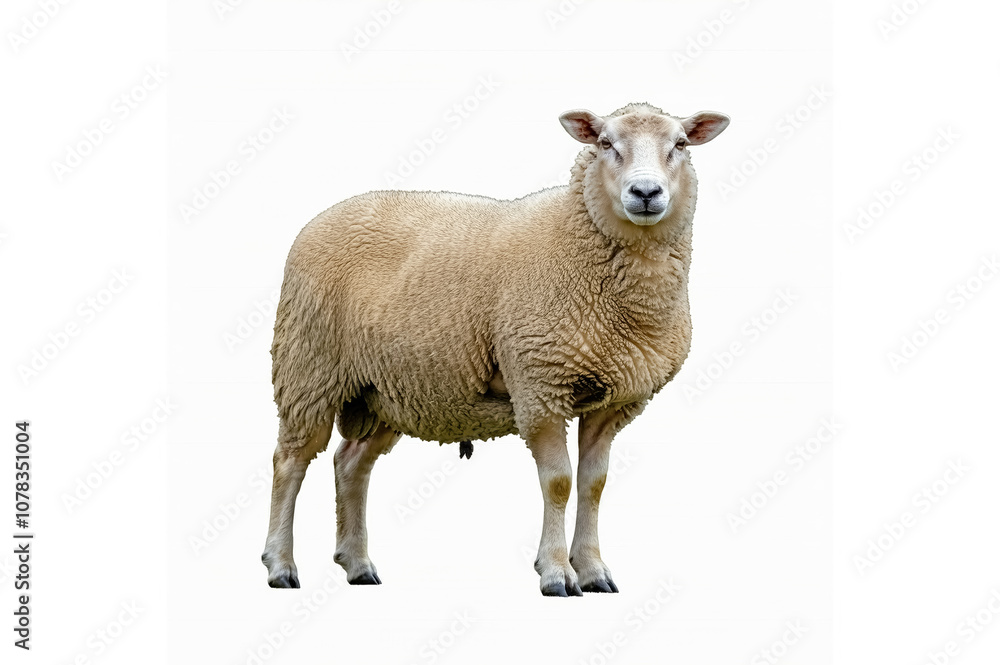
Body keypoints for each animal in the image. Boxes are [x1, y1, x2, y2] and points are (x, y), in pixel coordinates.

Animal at [261, 102, 729, 596]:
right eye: (605, 143)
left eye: (680, 144)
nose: (645, 192)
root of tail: (323, 216)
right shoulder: (539, 385)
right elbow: (559, 482)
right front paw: (556, 573)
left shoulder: (612, 401)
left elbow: (593, 484)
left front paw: (593, 569)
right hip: (309, 366)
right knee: (290, 462)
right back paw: (281, 565)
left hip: (387, 389)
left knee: (350, 465)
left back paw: (357, 564)